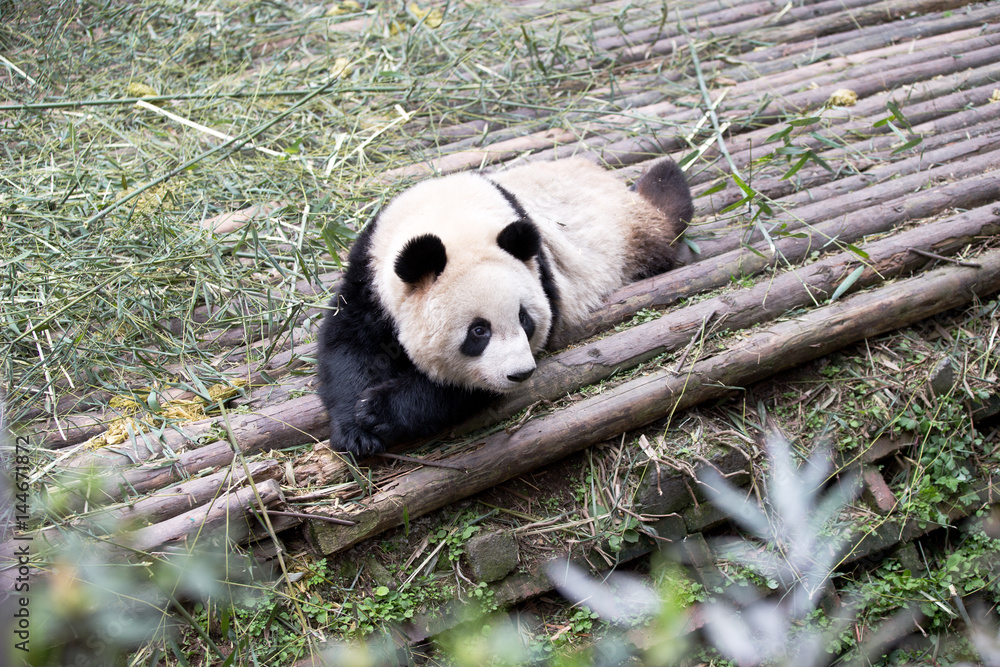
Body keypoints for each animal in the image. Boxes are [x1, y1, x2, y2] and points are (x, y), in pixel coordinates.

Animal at [317, 156, 693, 458]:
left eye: (525, 320)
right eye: (478, 331)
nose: (520, 374)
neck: (451, 220)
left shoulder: (541, 275)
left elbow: (462, 389)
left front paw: (379, 411)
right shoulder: (370, 274)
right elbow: (348, 346)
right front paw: (356, 432)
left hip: (630, 237)